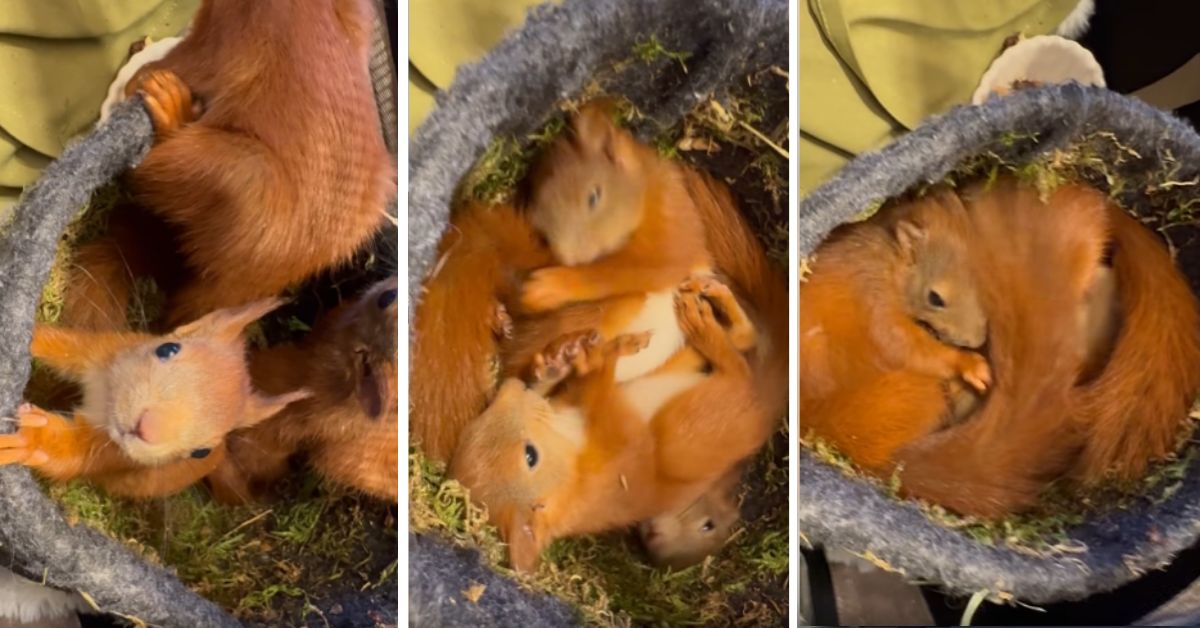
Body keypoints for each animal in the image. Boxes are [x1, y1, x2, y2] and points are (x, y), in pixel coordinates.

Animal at [0, 299, 309, 498]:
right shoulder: (104, 350)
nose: (146, 428)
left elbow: (68, 455)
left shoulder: (113, 455)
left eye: (200, 451)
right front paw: (31, 336)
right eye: (167, 349)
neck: (104, 400)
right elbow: (63, 344)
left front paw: (29, 438)